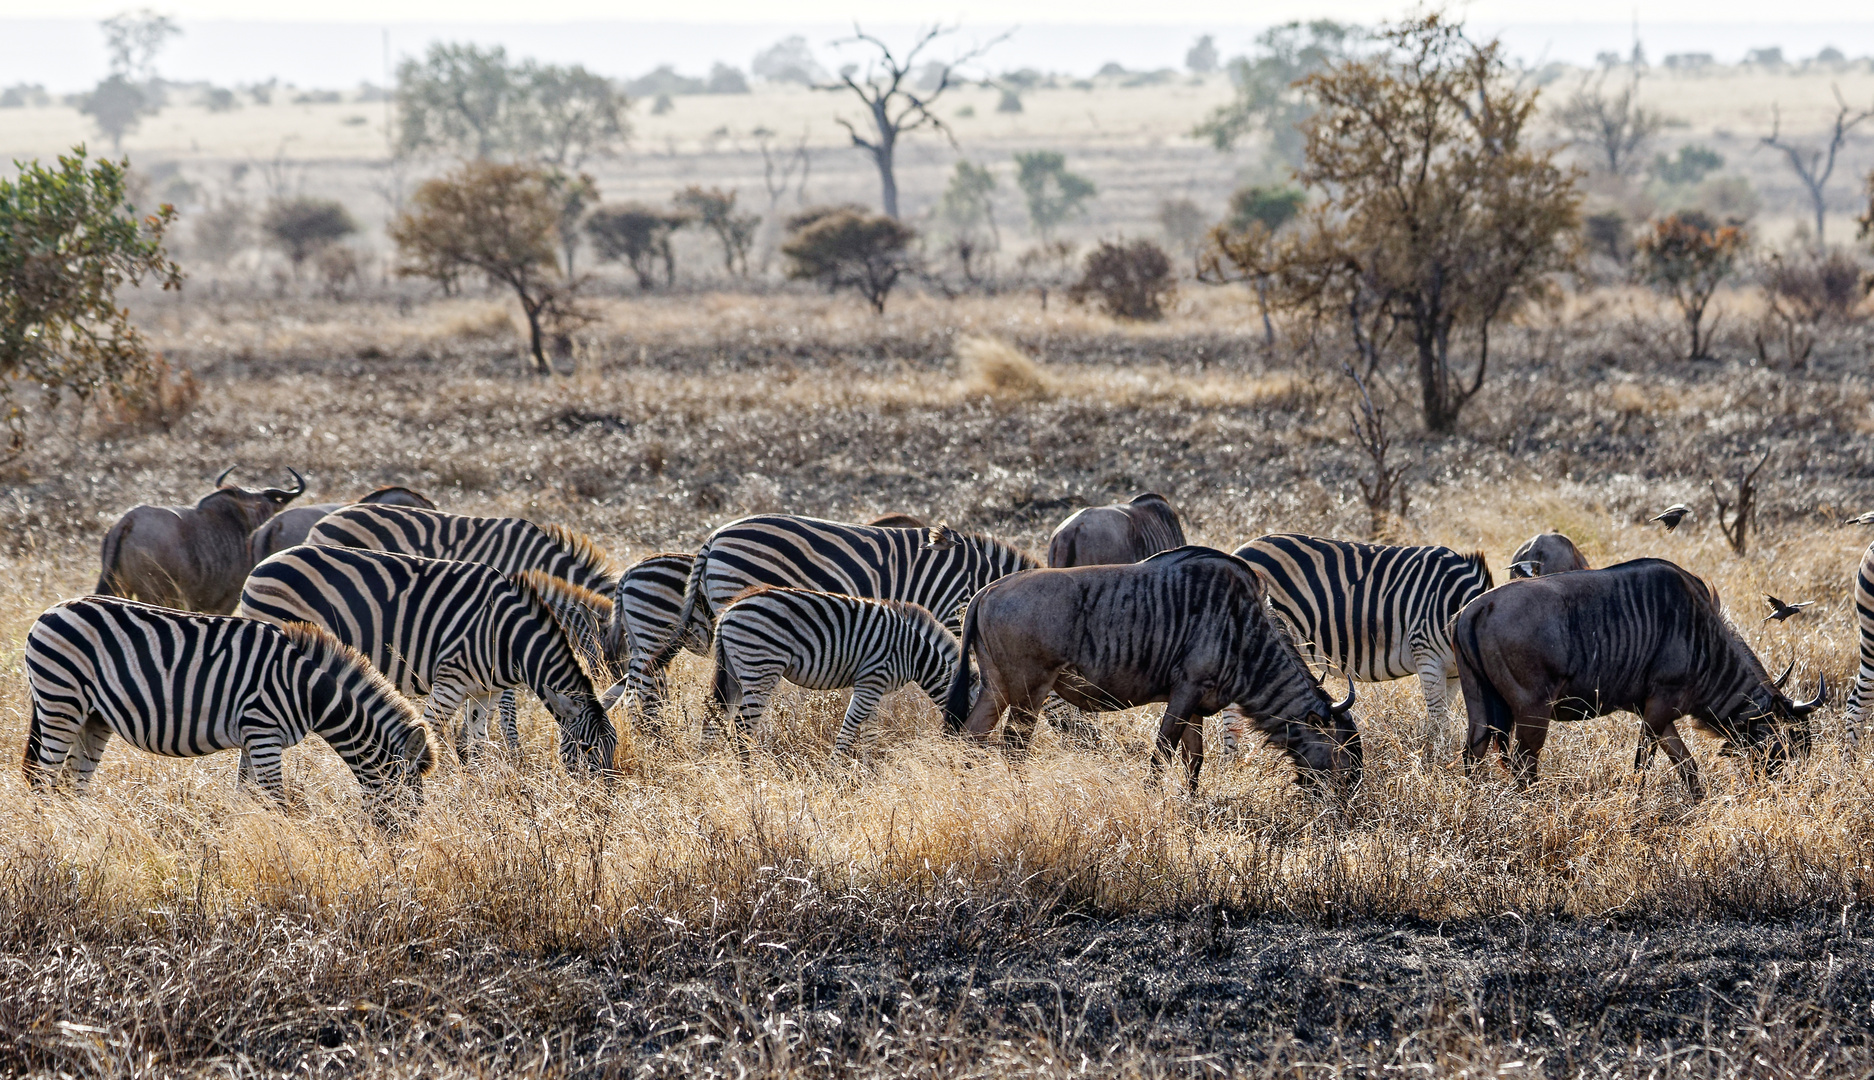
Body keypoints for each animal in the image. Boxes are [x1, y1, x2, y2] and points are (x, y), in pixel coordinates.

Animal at [22, 596, 432, 806]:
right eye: (411, 800)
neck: (308, 691)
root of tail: (50, 610)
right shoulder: (263, 731)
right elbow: (278, 801)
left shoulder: (253, 739)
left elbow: (243, 797)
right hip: (61, 701)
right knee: (43, 781)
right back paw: (54, 845)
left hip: (93, 717)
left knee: (71, 785)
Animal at [237, 543, 618, 772]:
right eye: (587, 749)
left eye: (613, 748)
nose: (600, 806)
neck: (506, 635)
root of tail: (264, 563)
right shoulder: (450, 682)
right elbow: (433, 731)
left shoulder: (486, 691)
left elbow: (477, 742)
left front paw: (479, 786)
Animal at [708, 585, 959, 753]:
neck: (914, 653)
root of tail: (729, 611)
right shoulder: (872, 679)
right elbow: (849, 730)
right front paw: (836, 775)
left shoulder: (875, 688)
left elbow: (869, 732)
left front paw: (868, 772)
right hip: (760, 666)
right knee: (741, 729)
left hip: (734, 671)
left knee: (713, 715)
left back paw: (706, 765)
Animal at [1229, 536, 1491, 738]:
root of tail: (1239, 550)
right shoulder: (1426, 655)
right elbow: (1438, 722)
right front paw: (1437, 763)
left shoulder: (1452, 671)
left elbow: (1444, 717)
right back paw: (1233, 758)